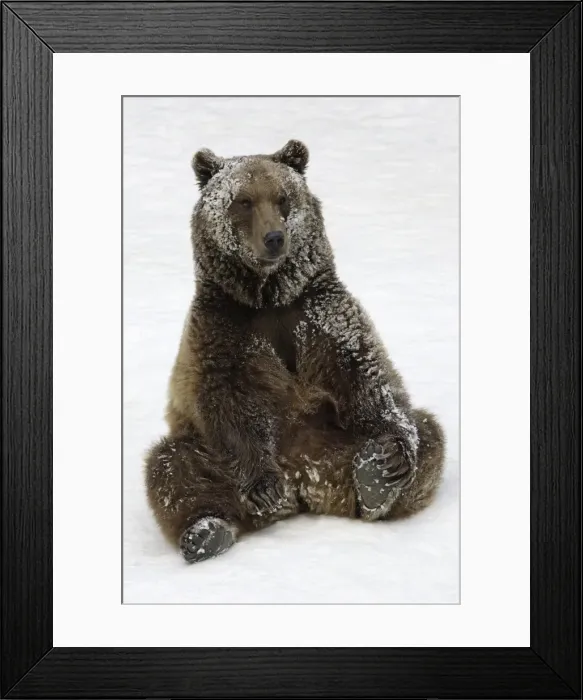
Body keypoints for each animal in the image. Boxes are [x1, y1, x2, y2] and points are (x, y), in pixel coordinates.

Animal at [145, 140, 446, 563]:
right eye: (243, 201)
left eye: (283, 197)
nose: (274, 237)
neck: (268, 295)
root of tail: (304, 484)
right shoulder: (222, 330)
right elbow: (226, 397)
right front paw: (263, 485)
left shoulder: (320, 315)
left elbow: (366, 375)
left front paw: (392, 458)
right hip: (210, 453)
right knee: (173, 465)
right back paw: (206, 532)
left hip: (334, 446)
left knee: (430, 433)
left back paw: (375, 479)